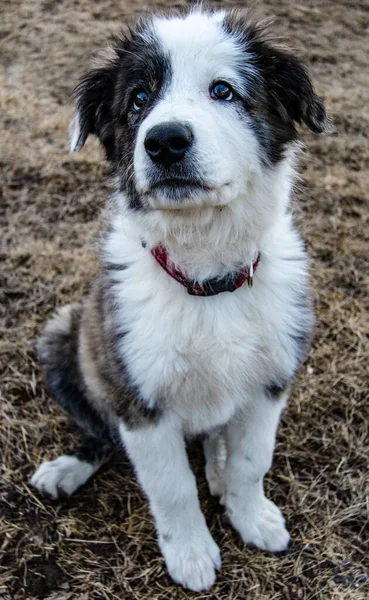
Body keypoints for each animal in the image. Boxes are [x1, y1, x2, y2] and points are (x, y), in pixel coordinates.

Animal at [28, 7, 328, 592]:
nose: (165, 141)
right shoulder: (138, 401)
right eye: (139, 99)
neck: (207, 280)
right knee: (100, 433)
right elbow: (170, 487)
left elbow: (251, 460)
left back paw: (216, 466)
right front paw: (190, 553)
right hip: (63, 337)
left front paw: (251, 516)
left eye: (223, 90)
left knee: (215, 439)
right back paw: (67, 469)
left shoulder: (272, 380)